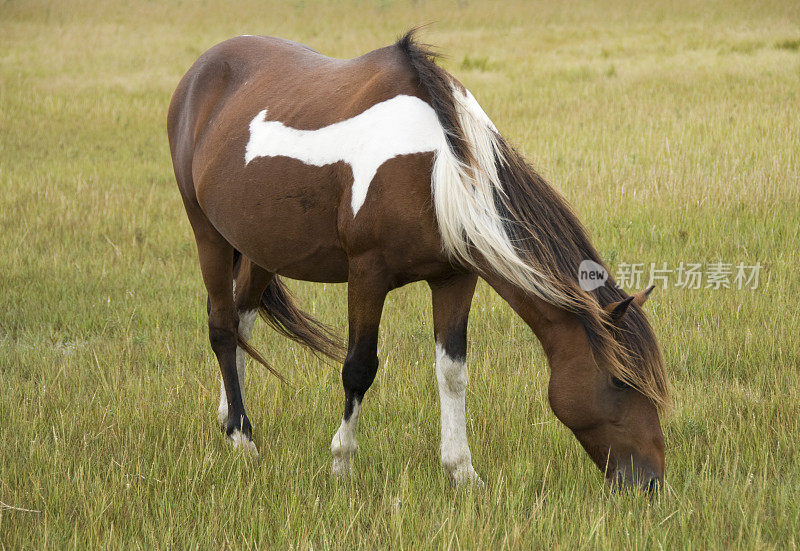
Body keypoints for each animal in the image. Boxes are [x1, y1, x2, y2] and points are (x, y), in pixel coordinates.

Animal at [167, 30, 668, 492]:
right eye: (621, 383)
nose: (650, 481)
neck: (435, 166)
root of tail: (203, 68)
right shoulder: (366, 274)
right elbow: (359, 367)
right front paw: (341, 463)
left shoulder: (455, 277)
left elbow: (452, 373)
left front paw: (462, 472)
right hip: (207, 231)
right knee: (223, 327)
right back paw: (242, 439)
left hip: (260, 245)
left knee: (242, 320)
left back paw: (228, 416)